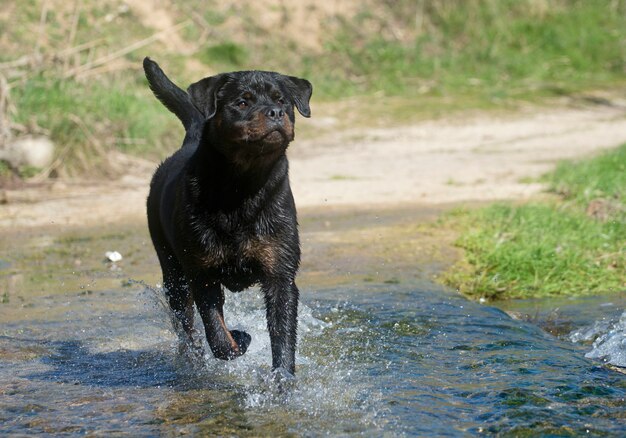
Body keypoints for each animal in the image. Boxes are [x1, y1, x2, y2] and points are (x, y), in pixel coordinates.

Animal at [143, 56, 310, 374]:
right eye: (241, 102)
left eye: (281, 100)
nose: (275, 112)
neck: (241, 187)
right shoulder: (202, 272)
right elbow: (217, 334)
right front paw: (239, 339)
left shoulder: (280, 272)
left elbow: (283, 334)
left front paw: (283, 379)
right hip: (172, 271)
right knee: (186, 324)